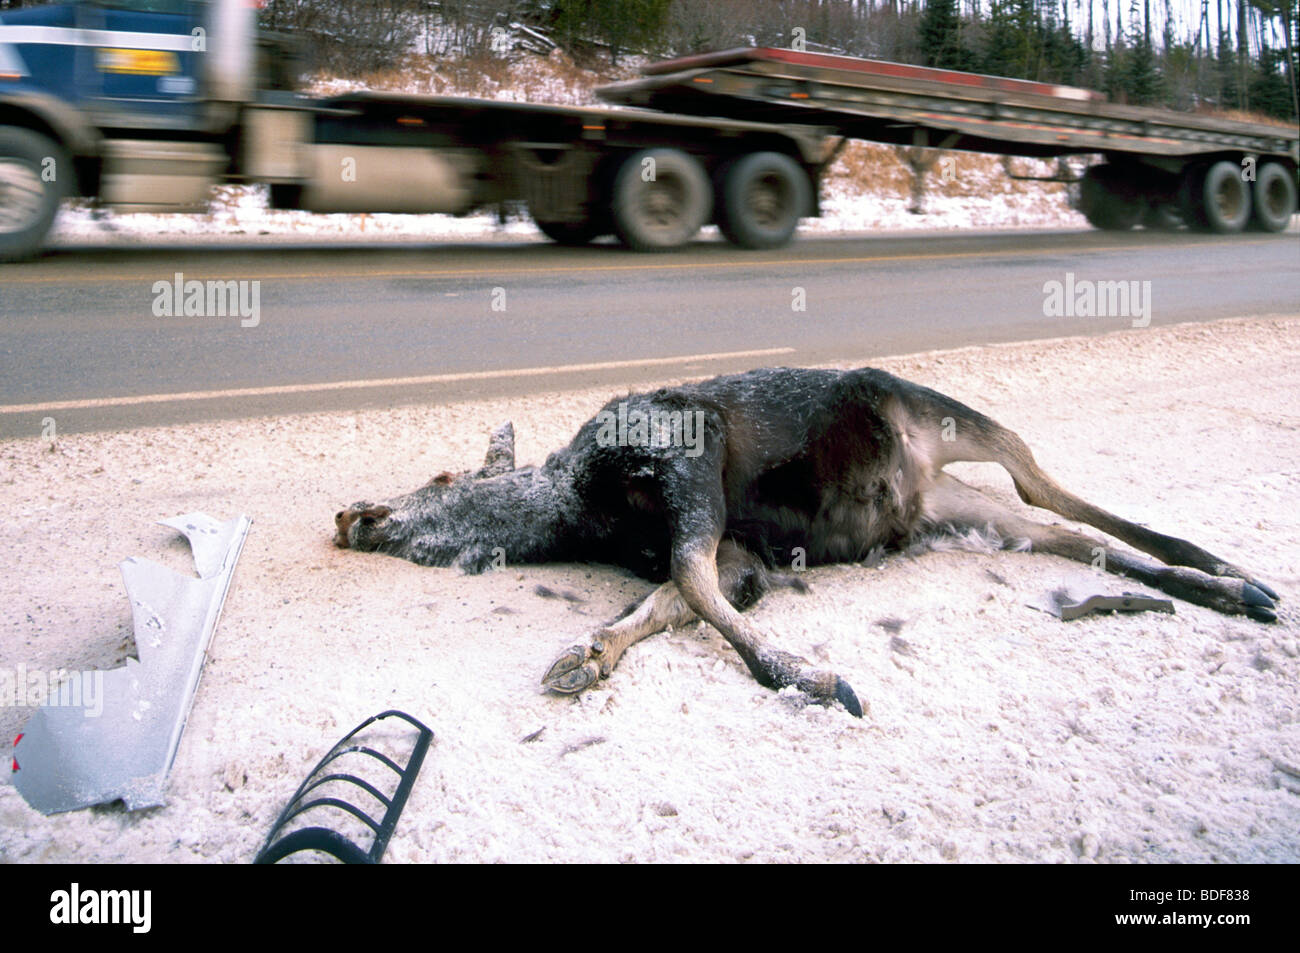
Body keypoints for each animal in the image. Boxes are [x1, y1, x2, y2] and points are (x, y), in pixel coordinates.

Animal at [335, 364, 1279, 712]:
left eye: (439, 479)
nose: (352, 517)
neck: (582, 504)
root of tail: (925, 477)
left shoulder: (688, 446)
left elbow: (687, 580)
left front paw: (808, 674)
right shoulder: (738, 554)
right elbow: (674, 595)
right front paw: (592, 651)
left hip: (945, 413)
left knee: (1046, 481)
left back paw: (1225, 566)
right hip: (965, 515)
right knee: (1059, 530)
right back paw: (1223, 585)